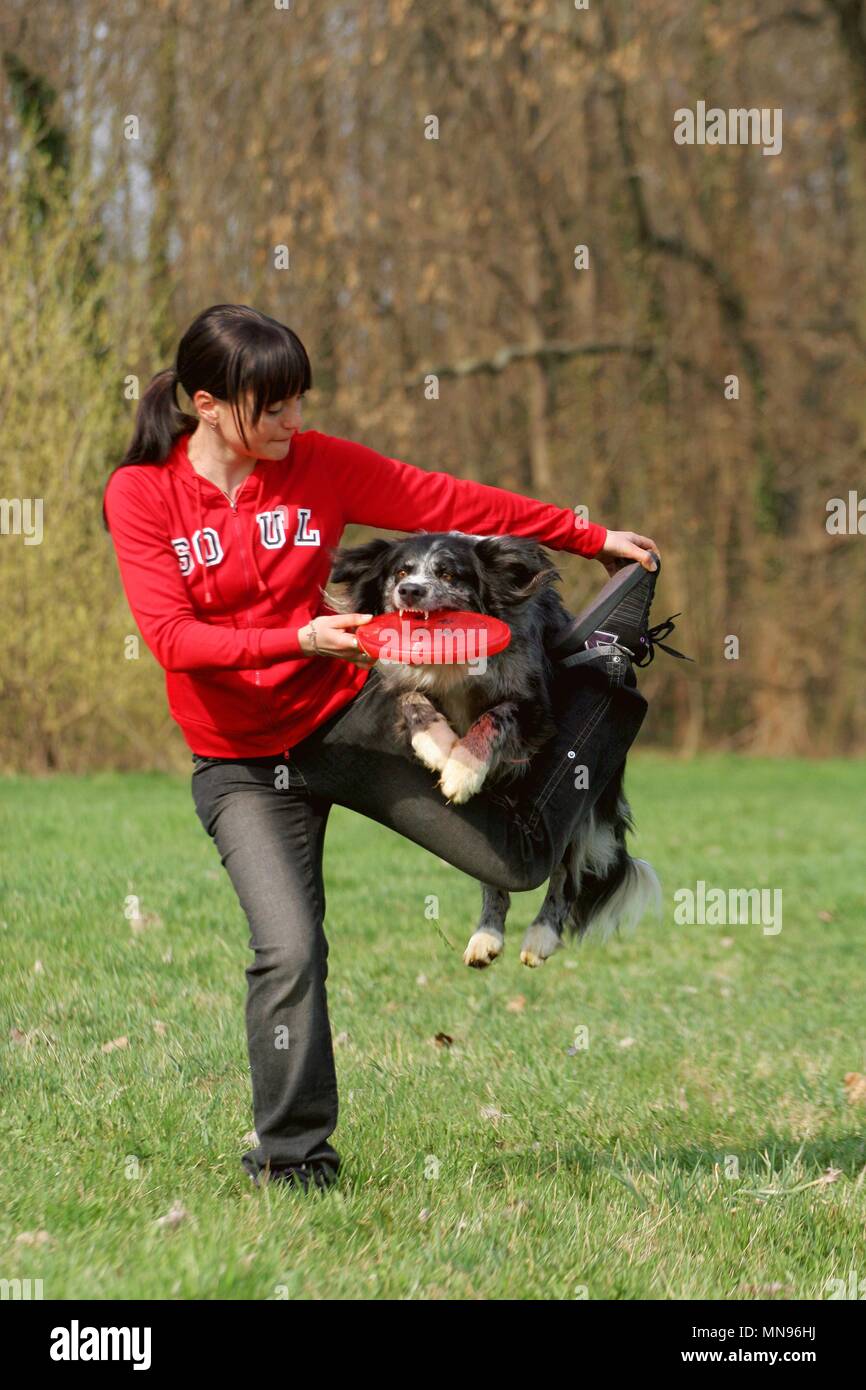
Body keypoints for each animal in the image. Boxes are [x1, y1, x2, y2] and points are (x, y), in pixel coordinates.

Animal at [323, 525, 656, 961]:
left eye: (449, 574)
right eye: (401, 572)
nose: (410, 591)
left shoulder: (534, 709)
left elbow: (494, 717)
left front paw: (462, 768)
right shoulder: (399, 680)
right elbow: (411, 699)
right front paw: (438, 744)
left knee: (565, 869)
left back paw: (541, 935)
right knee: (493, 871)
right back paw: (487, 936)